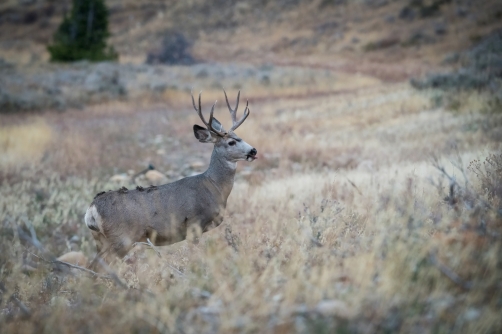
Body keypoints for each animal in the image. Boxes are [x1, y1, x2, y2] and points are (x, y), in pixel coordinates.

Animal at [85, 90, 256, 268]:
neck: (213, 187)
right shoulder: (194, 224)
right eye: (231, 142)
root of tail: (91, 209)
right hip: (121, 238)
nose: (253, 151)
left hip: (101, 240)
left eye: (240, 137)